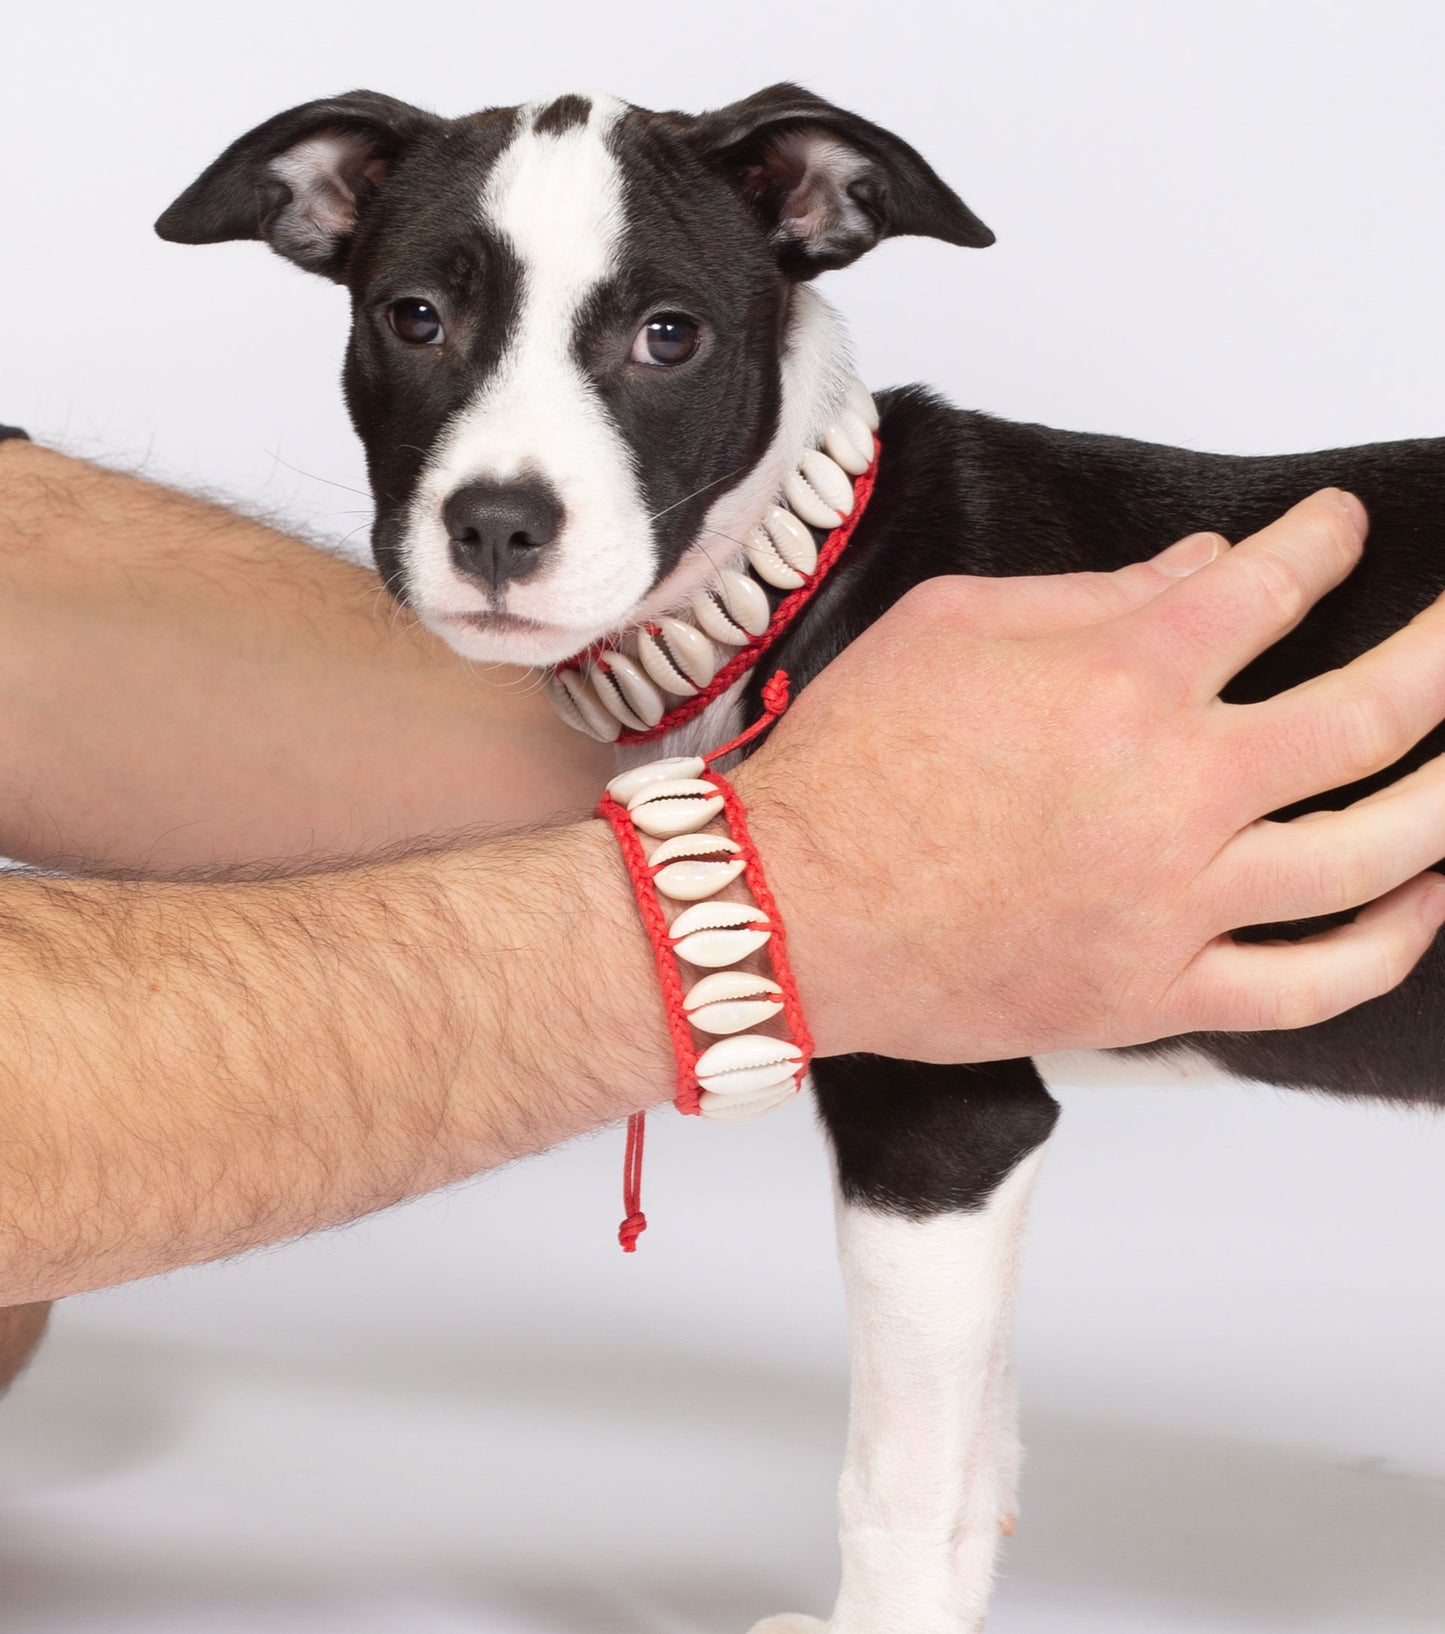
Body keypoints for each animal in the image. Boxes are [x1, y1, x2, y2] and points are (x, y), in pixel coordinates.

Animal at [157, 89, 1445, 1634]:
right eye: (415, 318)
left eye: (667, 335)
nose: (498, 525)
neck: (792, 573)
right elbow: (971, 1445)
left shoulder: (938, 1133)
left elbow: (895, 1486)